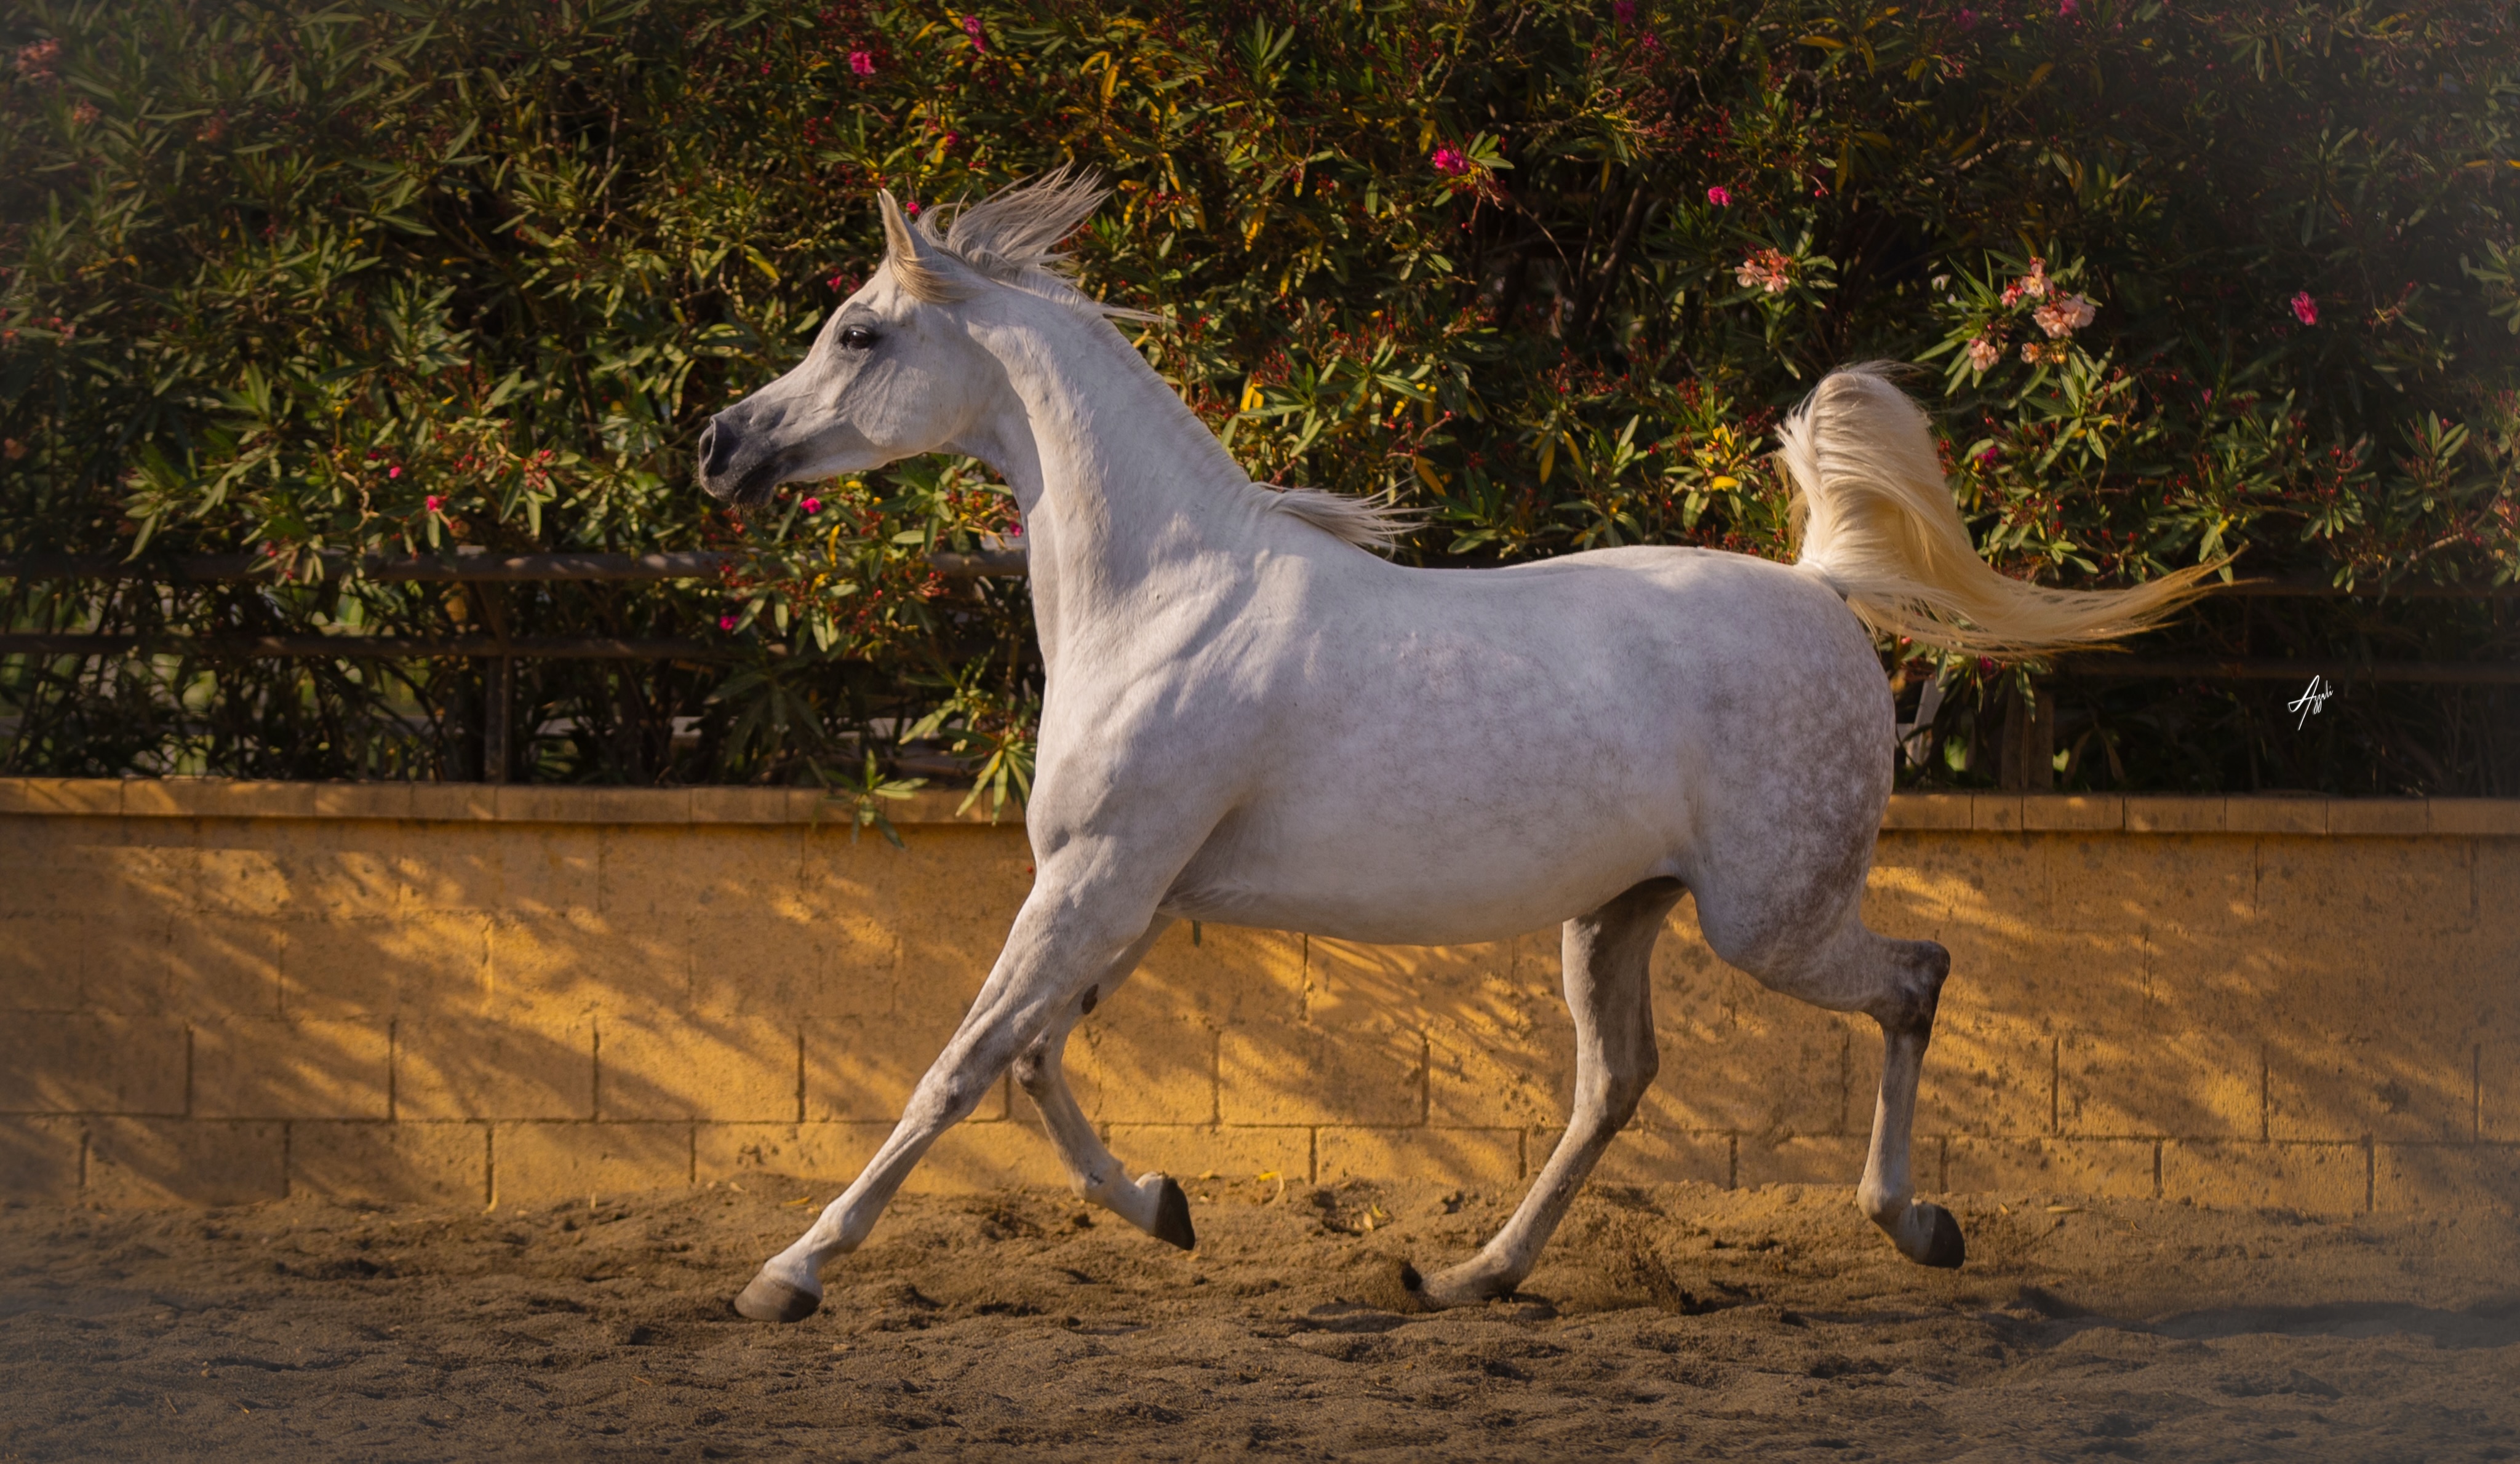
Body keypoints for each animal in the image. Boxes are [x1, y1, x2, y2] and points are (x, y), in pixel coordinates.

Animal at [693, 172, 2212, 1323]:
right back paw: (1473, 1273)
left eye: (857, 335)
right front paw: (1165, 1207)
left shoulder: (1097, 878)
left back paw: (1916, 1225)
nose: (720, 446)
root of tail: (1820, 586)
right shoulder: (1128, 892)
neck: (1162, 595)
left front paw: (787, 1272)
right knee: (1616, 1081)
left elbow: (957, 1067)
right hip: (1616, 912)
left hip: (1768, 918)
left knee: (1913, 979)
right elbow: (1030, 1060)